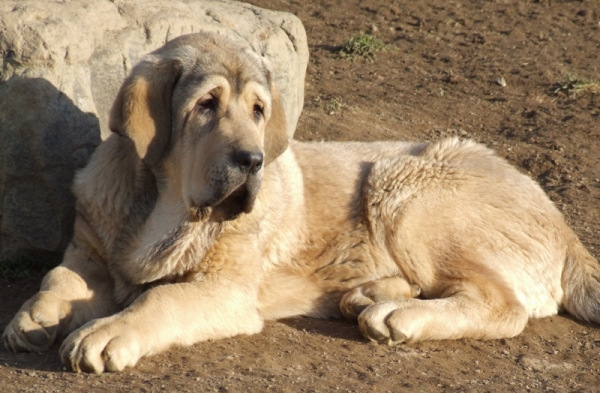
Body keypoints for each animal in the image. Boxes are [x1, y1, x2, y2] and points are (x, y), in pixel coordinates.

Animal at [4, 32, 600, 372]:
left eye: (258, 110)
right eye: (206, 105)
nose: (252, 160)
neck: (162, 209)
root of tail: (565, 228)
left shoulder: (224, 290)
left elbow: (159, 301)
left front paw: (105, 333)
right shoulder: (89, 252)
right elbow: (58, 278)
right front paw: (32, 318)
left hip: (405, 184)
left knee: (504, 305)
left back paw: (396, 315)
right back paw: (369, 295)